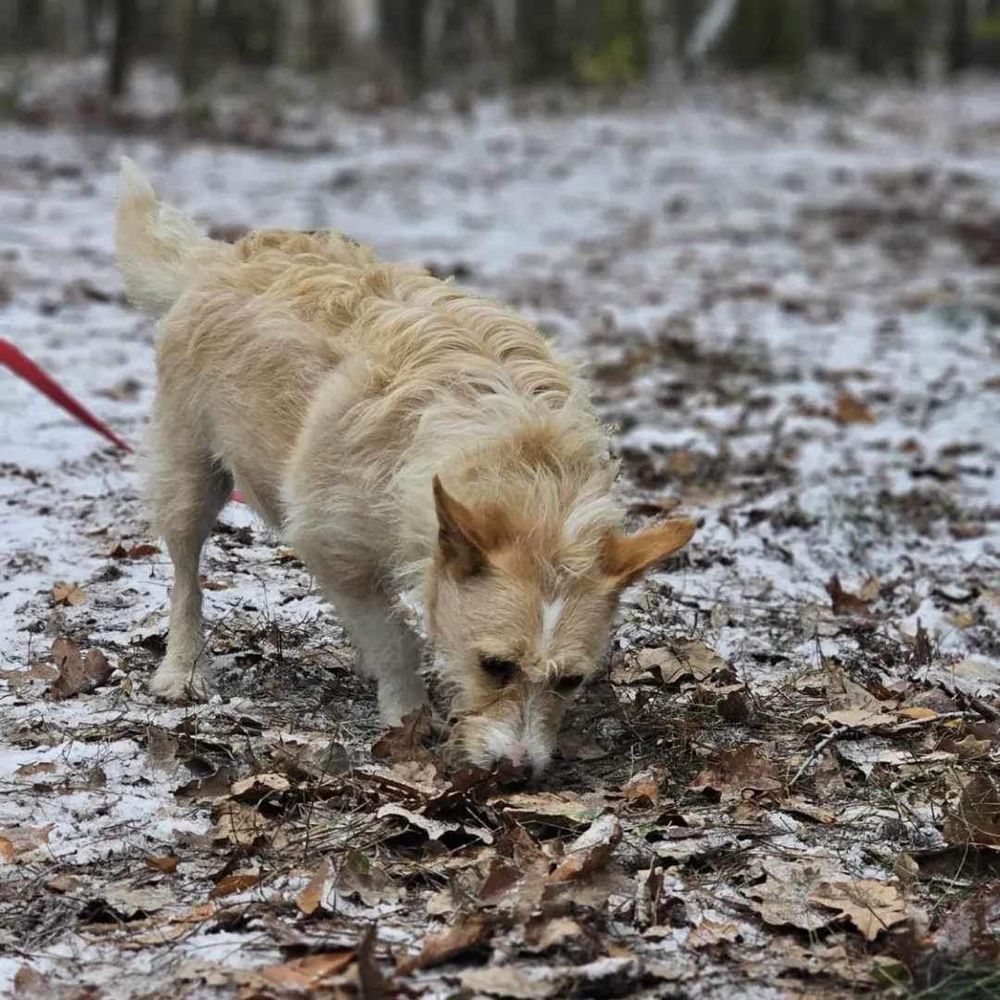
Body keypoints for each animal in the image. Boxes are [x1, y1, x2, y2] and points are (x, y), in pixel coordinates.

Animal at [115, 158, 696, 780]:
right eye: (494, 665)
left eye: (570, 681)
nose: (517, 769)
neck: (524, 458)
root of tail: (216, 259)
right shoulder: (332, 543)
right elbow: (393, 636)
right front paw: (409, 714)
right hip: (187, 472)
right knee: (185, 574)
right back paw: (183, 667)